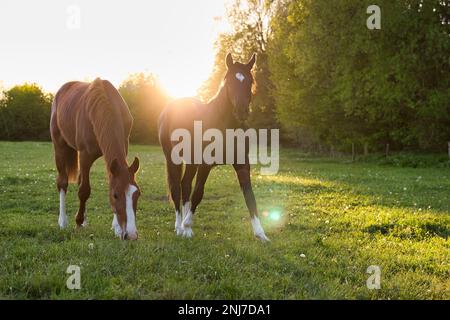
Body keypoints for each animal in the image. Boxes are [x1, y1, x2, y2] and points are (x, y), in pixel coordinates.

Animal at [49, 78, 142, 240]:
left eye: (137, 194)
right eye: (115, 195)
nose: (130, 235)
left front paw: (116, 227)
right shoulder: (85, 155)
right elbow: (84, 190)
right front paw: (78, 221)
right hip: (59, 146)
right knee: (62, 182)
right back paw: (63, 221)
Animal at [158, 53, 268, 242]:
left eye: (250, 81)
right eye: (229, 82)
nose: (241, 111)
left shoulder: (242, 165)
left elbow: (250, 197)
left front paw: (261, 234)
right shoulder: (205, 164)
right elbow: (198, 193)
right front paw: (187, 224)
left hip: (191, 162)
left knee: (185, 184)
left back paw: (185, 229)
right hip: (173, 160)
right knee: (176, 188)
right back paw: (180, 226)